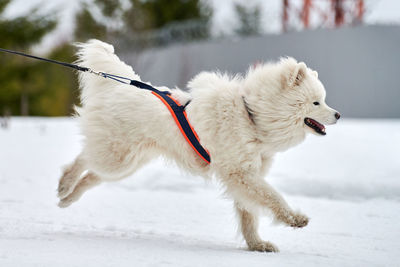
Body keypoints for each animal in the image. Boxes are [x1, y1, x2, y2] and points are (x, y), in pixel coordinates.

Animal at [57, 39, 340, 253]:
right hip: (117, 156)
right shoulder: (240, 173)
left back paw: (68, 198)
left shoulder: (244, 177)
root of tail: (120, 87)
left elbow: (249, 215)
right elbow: (272, 196)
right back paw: (64, 184)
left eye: (323, 100)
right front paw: (295, 219)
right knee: (83, 159)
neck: (252, 117)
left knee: (92, 175)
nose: (338, 115)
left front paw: (257, 245)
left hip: (127, 163)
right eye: (316, 102)